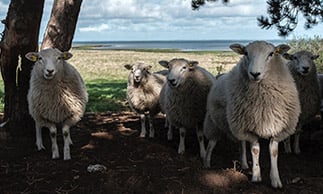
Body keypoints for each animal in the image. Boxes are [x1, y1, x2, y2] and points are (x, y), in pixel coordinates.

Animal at [205, 40, 302, 188]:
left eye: (271, 54)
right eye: (246, 53)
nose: (255, 73)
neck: (263, 101)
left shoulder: (276, 127)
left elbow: (273, 152)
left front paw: (275, 180)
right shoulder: (250, 128)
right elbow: (255, 151)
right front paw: (256, 176)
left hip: (237, 124)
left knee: (241, 143)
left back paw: (244, 164)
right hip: (216, 122)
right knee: (211, 143)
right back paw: (206, 162)